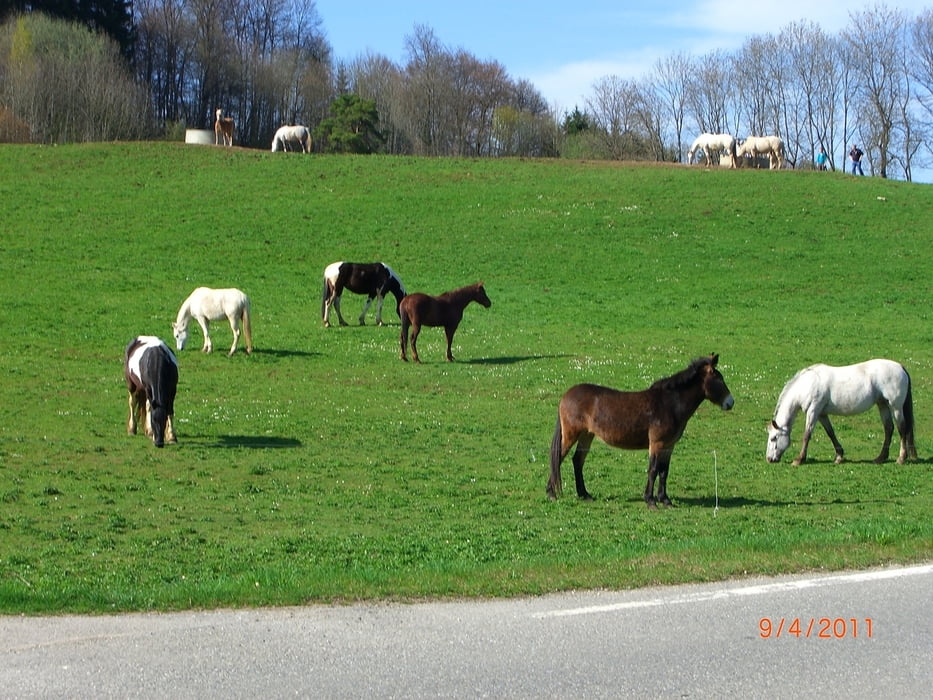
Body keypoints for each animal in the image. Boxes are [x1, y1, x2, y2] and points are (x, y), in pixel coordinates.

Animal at [548, 356, 736, 508]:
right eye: (719, 380)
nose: (730, 402)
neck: (669, 404)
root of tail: (566, 396)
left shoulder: (669, 446)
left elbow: (664, 471)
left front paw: (665, 500)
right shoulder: (657, 443)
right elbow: (653, 470)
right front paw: (651, 501)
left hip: (587, 435)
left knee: (577, 461)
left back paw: (584, 495)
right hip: (572, 434)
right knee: (558, 458)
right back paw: (551, 494)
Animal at [764, 360, 916, 464]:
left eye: (774, 438)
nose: (769, 459)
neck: (807, 385)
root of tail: (900, 367)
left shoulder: (813, 411)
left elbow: (807, 435)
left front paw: (799, 459)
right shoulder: (821, 414)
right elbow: (830, 433)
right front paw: (839, 456)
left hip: (895, 407)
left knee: (902, 429)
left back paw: (901, 458)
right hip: (883, 405)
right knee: (888, 428)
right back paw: (880, 458)